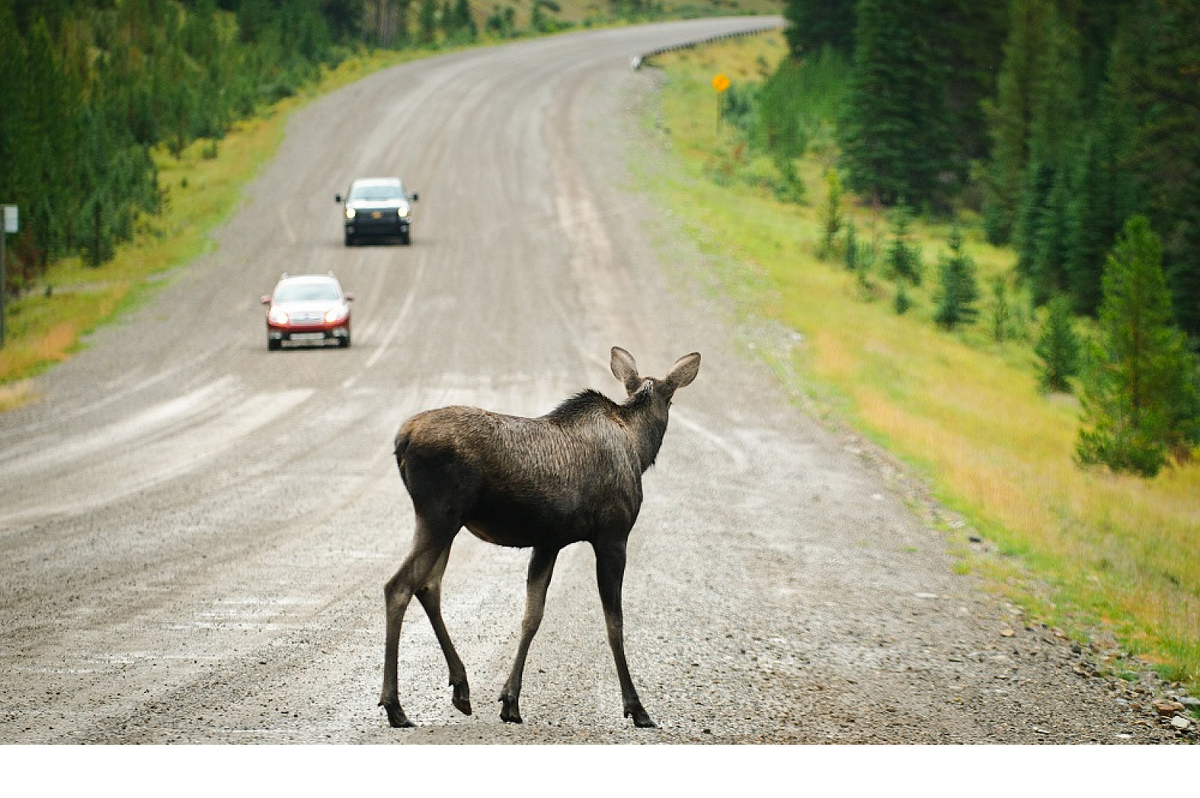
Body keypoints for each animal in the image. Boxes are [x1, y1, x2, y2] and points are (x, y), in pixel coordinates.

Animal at [379, 345, 700, 724]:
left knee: (428, 586)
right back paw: (395, 705)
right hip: (439, 516)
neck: (638, 447)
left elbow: (531, 616)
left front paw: (510, 700)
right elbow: (614, 623)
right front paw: (636, 707)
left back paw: (460, 686)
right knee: (399, 586)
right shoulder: (613, 536)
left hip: (443, 522)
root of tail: (402, 439)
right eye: (672, 399)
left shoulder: (549, 541)